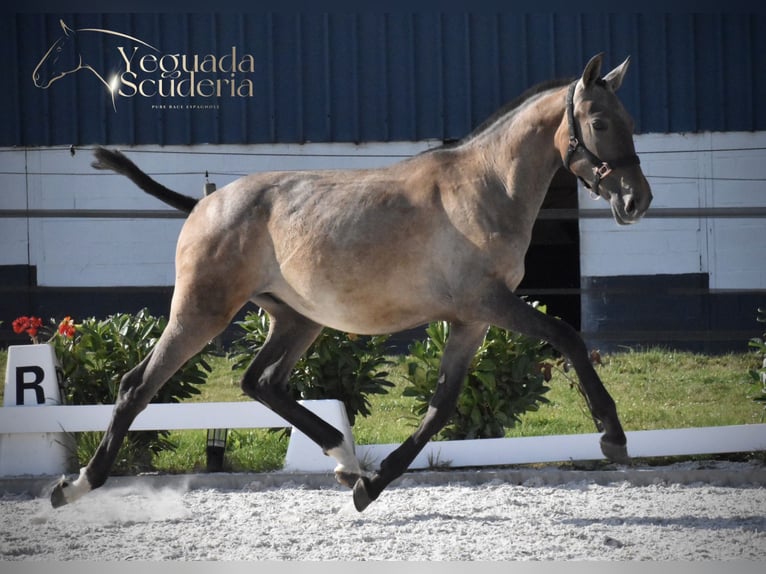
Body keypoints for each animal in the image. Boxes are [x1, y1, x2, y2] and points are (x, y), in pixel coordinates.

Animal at [50, 53, 652, 512]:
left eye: (630, 120)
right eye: (599, 122)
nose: (636, 201)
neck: (484, 187)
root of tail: (205, 205)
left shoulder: (471, 320)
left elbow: (440, 407)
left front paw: (369, 487)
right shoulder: (488, 303)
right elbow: (567, 337)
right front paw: (612, 437)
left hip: (297, 320)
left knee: (260, 383)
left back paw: (343, 458)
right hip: (202, 313)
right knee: (137, 387)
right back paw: (75, 486)